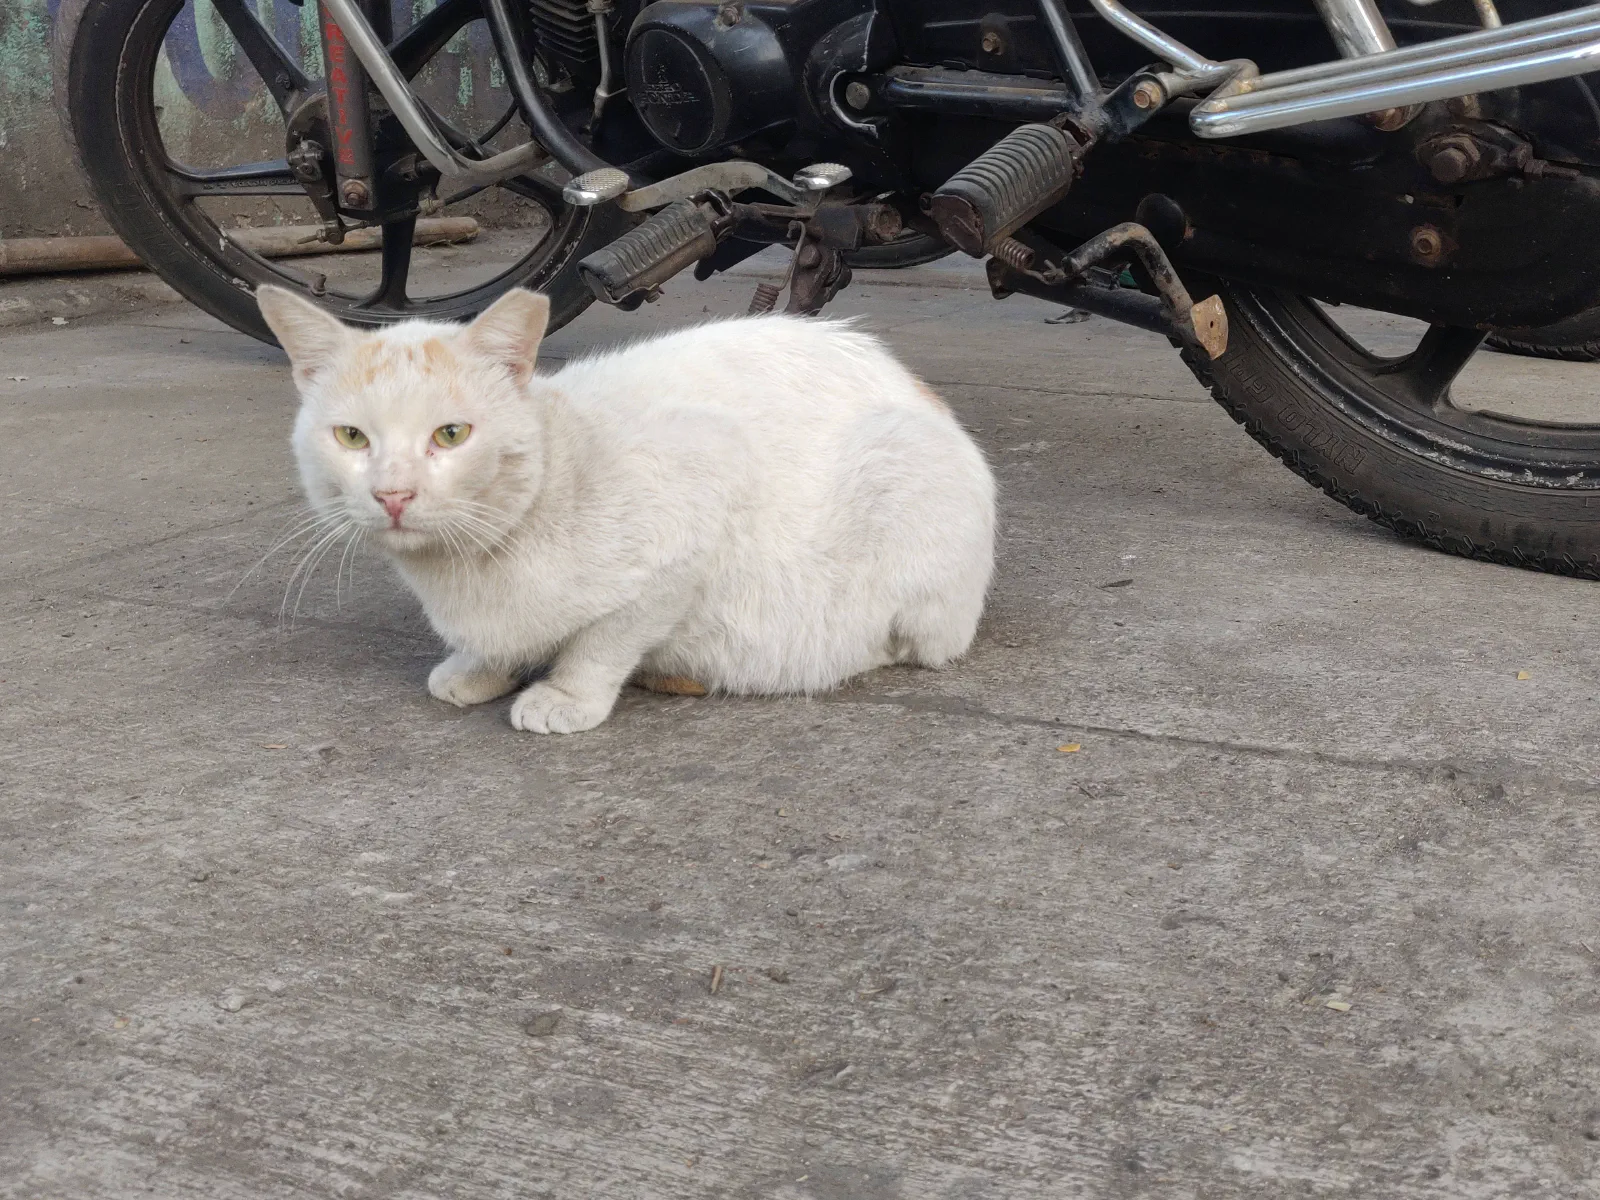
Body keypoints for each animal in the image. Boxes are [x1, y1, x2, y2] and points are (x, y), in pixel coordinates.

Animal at [256, 286, 992, 732]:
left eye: (452, 435)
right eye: (353, 438)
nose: (393, 493)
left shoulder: (701, 496)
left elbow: (606, 638)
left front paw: (567, 696)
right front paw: (477, 667)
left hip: (898, 472)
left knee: (910, 643)